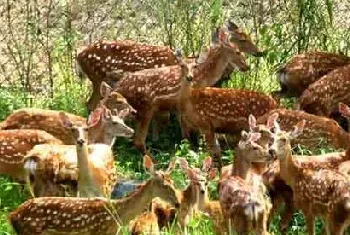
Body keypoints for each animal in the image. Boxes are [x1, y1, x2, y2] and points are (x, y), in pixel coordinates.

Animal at [8, 154, 180, 235]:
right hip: (30, 230)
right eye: (165, 185)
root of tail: (12, 215)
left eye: (174, 182)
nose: (178, 203)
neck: (117, 216)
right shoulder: (98, 231)